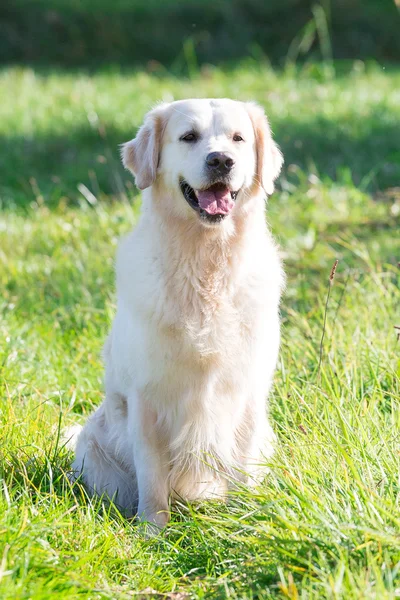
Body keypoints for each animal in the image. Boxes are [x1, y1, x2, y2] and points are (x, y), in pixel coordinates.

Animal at [72, 99, 284, 536]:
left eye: (238, 138)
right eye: (188, 137)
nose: (221, 160)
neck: (206, 263)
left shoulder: (249, 392)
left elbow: (243, 466)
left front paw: (244, 524)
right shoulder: (146, 397)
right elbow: (152, 478)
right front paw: (152, 532)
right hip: (93, 447)